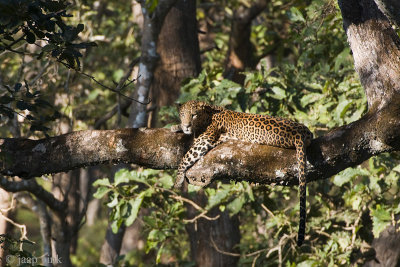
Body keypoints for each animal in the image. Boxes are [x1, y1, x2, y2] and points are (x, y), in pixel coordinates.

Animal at [170, 100, 314, 247]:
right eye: (183, 115)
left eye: (193, 115)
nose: (187, 126)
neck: (207, 114)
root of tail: (301, 133)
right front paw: (177, 126)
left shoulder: (203, 142)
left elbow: (185, 158)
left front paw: (177, 181)